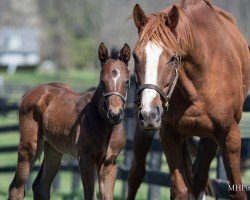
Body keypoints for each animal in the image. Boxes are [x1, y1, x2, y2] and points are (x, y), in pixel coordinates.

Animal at [8, 42, 131, 200]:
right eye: (102, 81)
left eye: (127, 82)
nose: (114, 114)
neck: (105, 125)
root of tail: (29, 93)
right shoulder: (85, 159)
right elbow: (90, 196)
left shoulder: (110, 163)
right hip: (30, 147)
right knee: (17, 188)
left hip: (54, 149)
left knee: (41, 186)